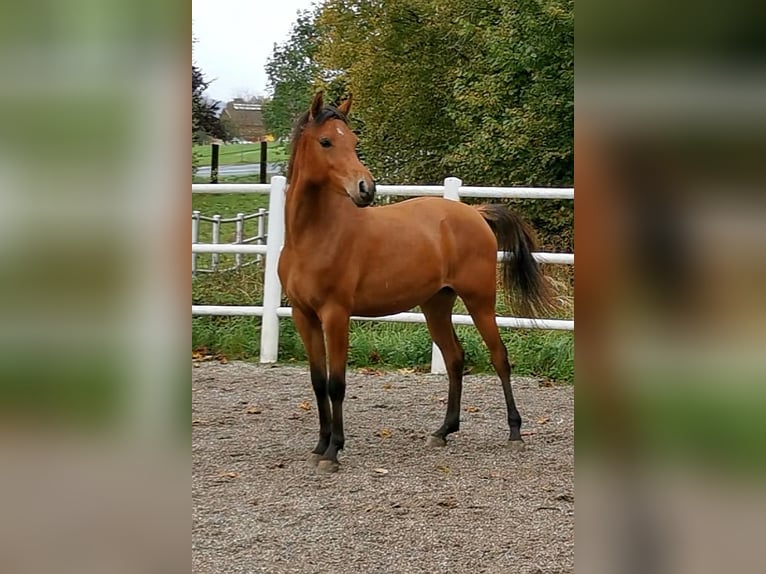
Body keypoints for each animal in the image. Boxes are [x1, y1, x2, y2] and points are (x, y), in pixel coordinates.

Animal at [277, 91, 553, 473]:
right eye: (326, 141)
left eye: (354, 141)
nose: (366, 188)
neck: (313, 237)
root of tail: (475, 213)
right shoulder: (304, 316)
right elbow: (318, 383)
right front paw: (320, 446)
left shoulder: (336, 315)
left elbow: (337, 384)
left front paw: (334, 451)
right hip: (436, 304)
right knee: (454, 358)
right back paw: (443, 431)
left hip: (480, 301)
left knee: (499, 357)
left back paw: (514, 432)